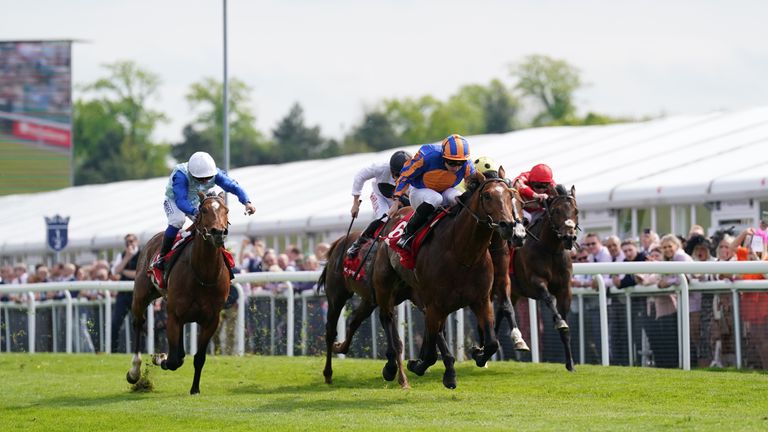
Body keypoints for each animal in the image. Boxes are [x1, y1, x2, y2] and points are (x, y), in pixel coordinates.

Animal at [124, 191, 228, 394]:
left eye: (226, 210)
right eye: (204, 210)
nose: (218, 232)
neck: (204, 274)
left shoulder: (211, 319)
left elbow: (198, 357)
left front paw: (195, 389)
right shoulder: (174, 315)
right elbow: (173, 360)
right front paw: (160, 358)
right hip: (141, 295)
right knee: (138, 323)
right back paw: (134, 371)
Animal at [372, 172, 520, 388]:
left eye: (511, 195)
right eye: (487, 196)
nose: (508, 226)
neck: (462, 253)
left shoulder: (481, 300)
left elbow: (492, 343)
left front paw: (478, 353)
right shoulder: (435, 304)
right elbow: (431, 353)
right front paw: (425, 367)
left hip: (417, 295)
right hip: (384, 284)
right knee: (387, 317)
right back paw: (391, 366)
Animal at [510, 184, 576, 370]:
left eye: (576, 210)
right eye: (556, 211)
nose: (569, 237)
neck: (551, 249)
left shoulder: (565, 289)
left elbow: (565, 323)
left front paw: (570, 363)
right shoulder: (536, 281)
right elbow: (548, 299)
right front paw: (559, 321)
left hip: (513, 293)